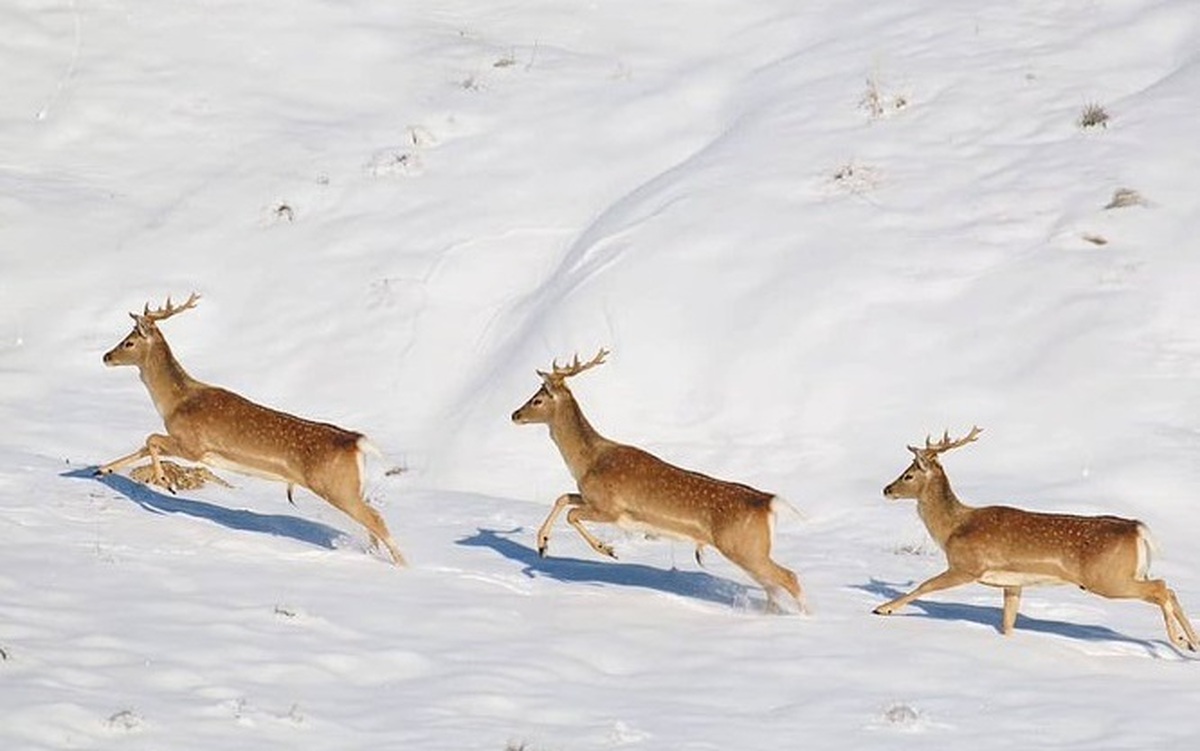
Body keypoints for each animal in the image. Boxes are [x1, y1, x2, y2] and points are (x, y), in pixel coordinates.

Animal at [96, 292, 405, 561]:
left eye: (128, 342)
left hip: (335, 486)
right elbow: (144, 446)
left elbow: (151, 439)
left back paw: (403, 567)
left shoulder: (194, 445)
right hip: (352, 488)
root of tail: (357, 442)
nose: (106, 356)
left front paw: (165, 483)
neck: (175, 402)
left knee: (377, 520)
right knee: (372, 523)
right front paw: (102, 469)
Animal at [511, 347, 801, 611]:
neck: (587, 462)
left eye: (537, 400)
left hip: (743, 547)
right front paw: (542, 546)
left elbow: (572, 514)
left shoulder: (610, 508)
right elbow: (562, 498)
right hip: (751, 550)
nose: (515, 415)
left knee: (790, 578)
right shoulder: (589, 496)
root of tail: (768, 503)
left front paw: (607, 549)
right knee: (774, 586)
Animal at [873, 424, 1200, 647]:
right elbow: (1008, 621)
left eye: (908, 475)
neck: (953, 528)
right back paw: (1192, 644)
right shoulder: (1013, 583)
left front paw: (882, 608)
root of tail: (1137, 528)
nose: (887, 489)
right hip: (1129, 573)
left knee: (1162, 588)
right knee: (1168, 589)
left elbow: (925, 586)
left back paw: (1179, 640)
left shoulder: (967, 566)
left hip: (1108, 578)